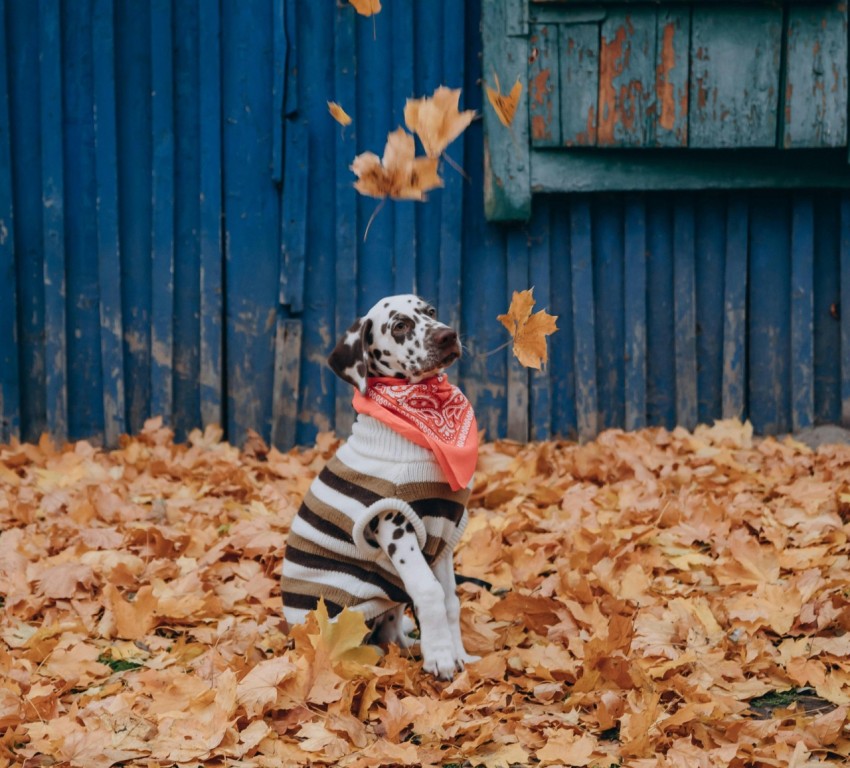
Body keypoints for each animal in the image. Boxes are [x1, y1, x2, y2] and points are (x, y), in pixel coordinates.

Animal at [278, 292, 476, 680]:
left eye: (431, 311)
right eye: (399, 326)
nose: (448, 335)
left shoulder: (443, 535)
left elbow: (450, 599)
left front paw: (458, 655)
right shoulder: (396, 526)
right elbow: (429, 592)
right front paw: (441, 657)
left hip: (390, 598)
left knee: (392, 631)